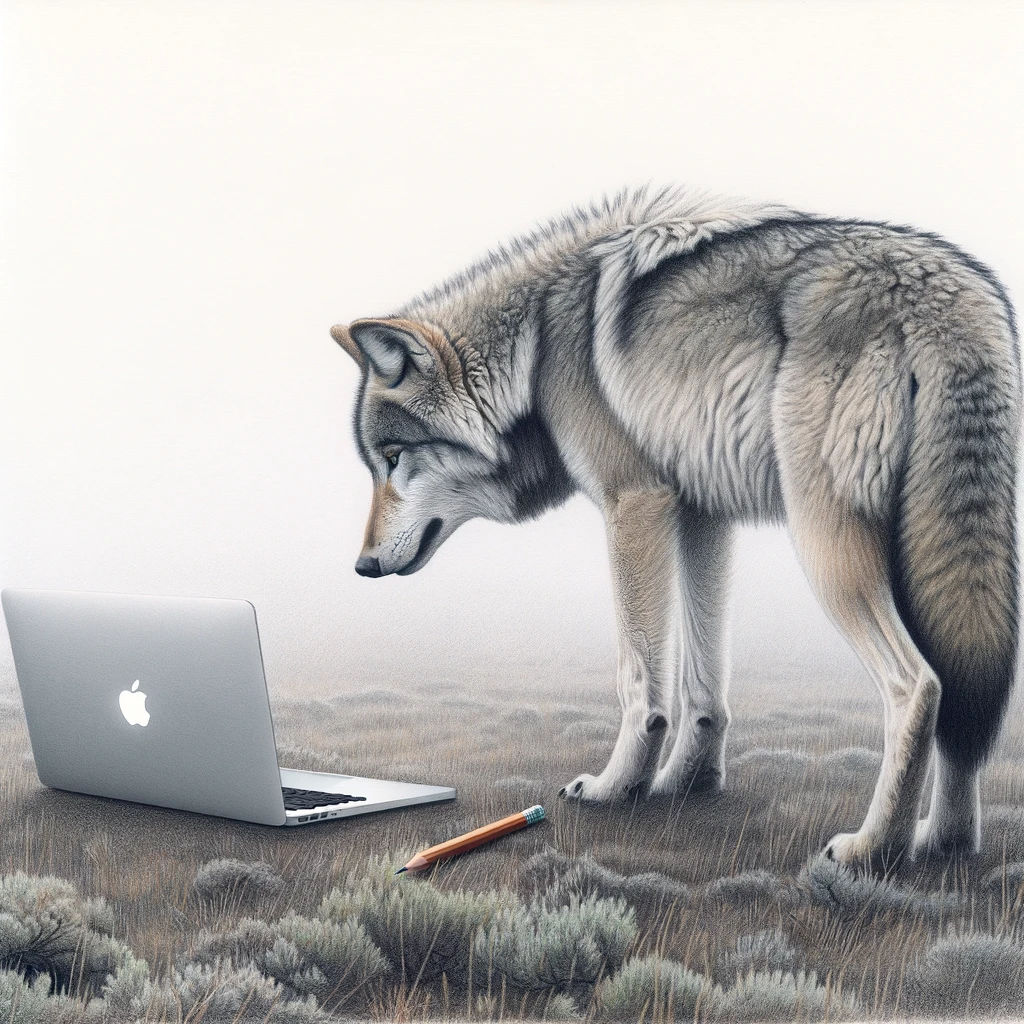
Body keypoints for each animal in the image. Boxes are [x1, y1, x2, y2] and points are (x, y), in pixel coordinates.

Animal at [331, 187, 1020, 867]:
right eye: (376, 463)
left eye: (393, 458)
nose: (361, 566)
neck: (537, 344)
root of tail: (947, 294)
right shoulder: (702, 514)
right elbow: (703, 680)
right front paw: (687, 783)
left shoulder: (635, 503)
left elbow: (640, 678)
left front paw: (618, 787)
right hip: (936, 556)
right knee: (964, 692)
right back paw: (944, 842)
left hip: (829, 546)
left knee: (918, 686)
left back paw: (874, 849)